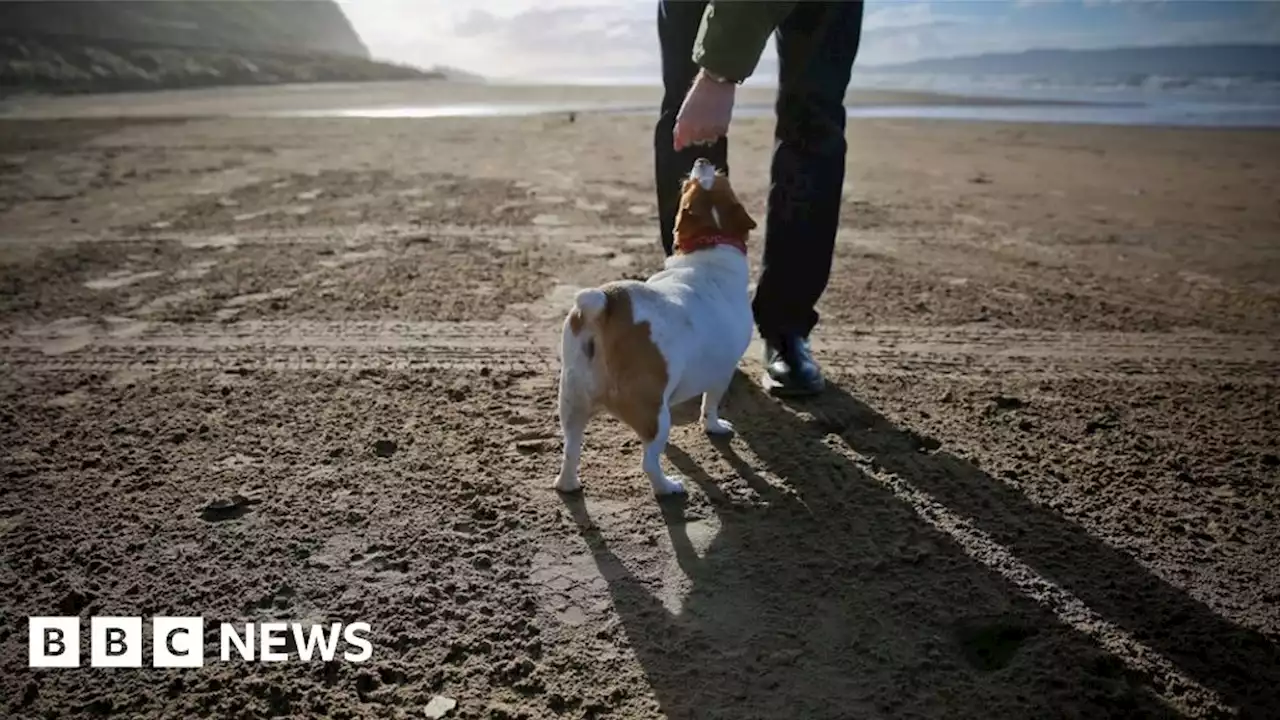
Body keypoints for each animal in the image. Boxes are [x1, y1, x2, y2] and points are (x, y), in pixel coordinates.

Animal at [552, 156, 752, 491]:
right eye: (719, 177)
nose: (702, 159)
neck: (709, 246)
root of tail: (605, 303)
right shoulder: (721, 373)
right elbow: (709, 407)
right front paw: (715, 426)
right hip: (654, 414)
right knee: (648, 463)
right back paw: (669, 488)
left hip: (572, 403)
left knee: (570, 451)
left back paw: (568, 483)